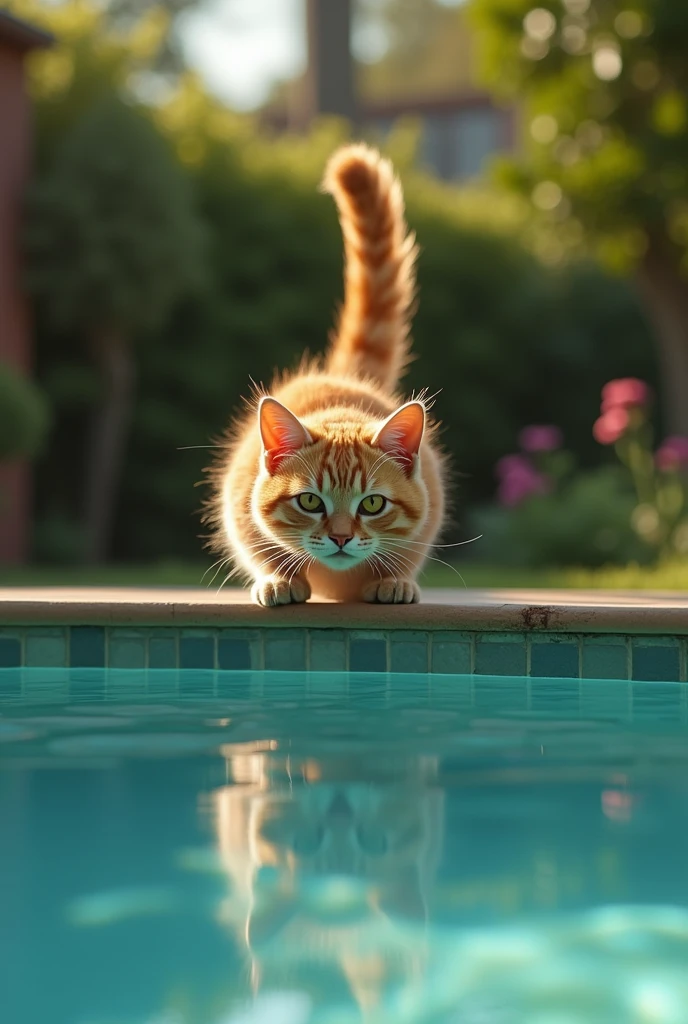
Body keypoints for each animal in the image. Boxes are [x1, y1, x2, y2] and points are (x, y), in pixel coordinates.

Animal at [206, 141, 448, 602]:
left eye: (372, 503)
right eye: (309, 502)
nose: (340, 537)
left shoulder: (431, 506)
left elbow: (409, 551)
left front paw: (393, 579)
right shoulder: (237, 503)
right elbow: (258, 548)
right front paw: (279, 578)